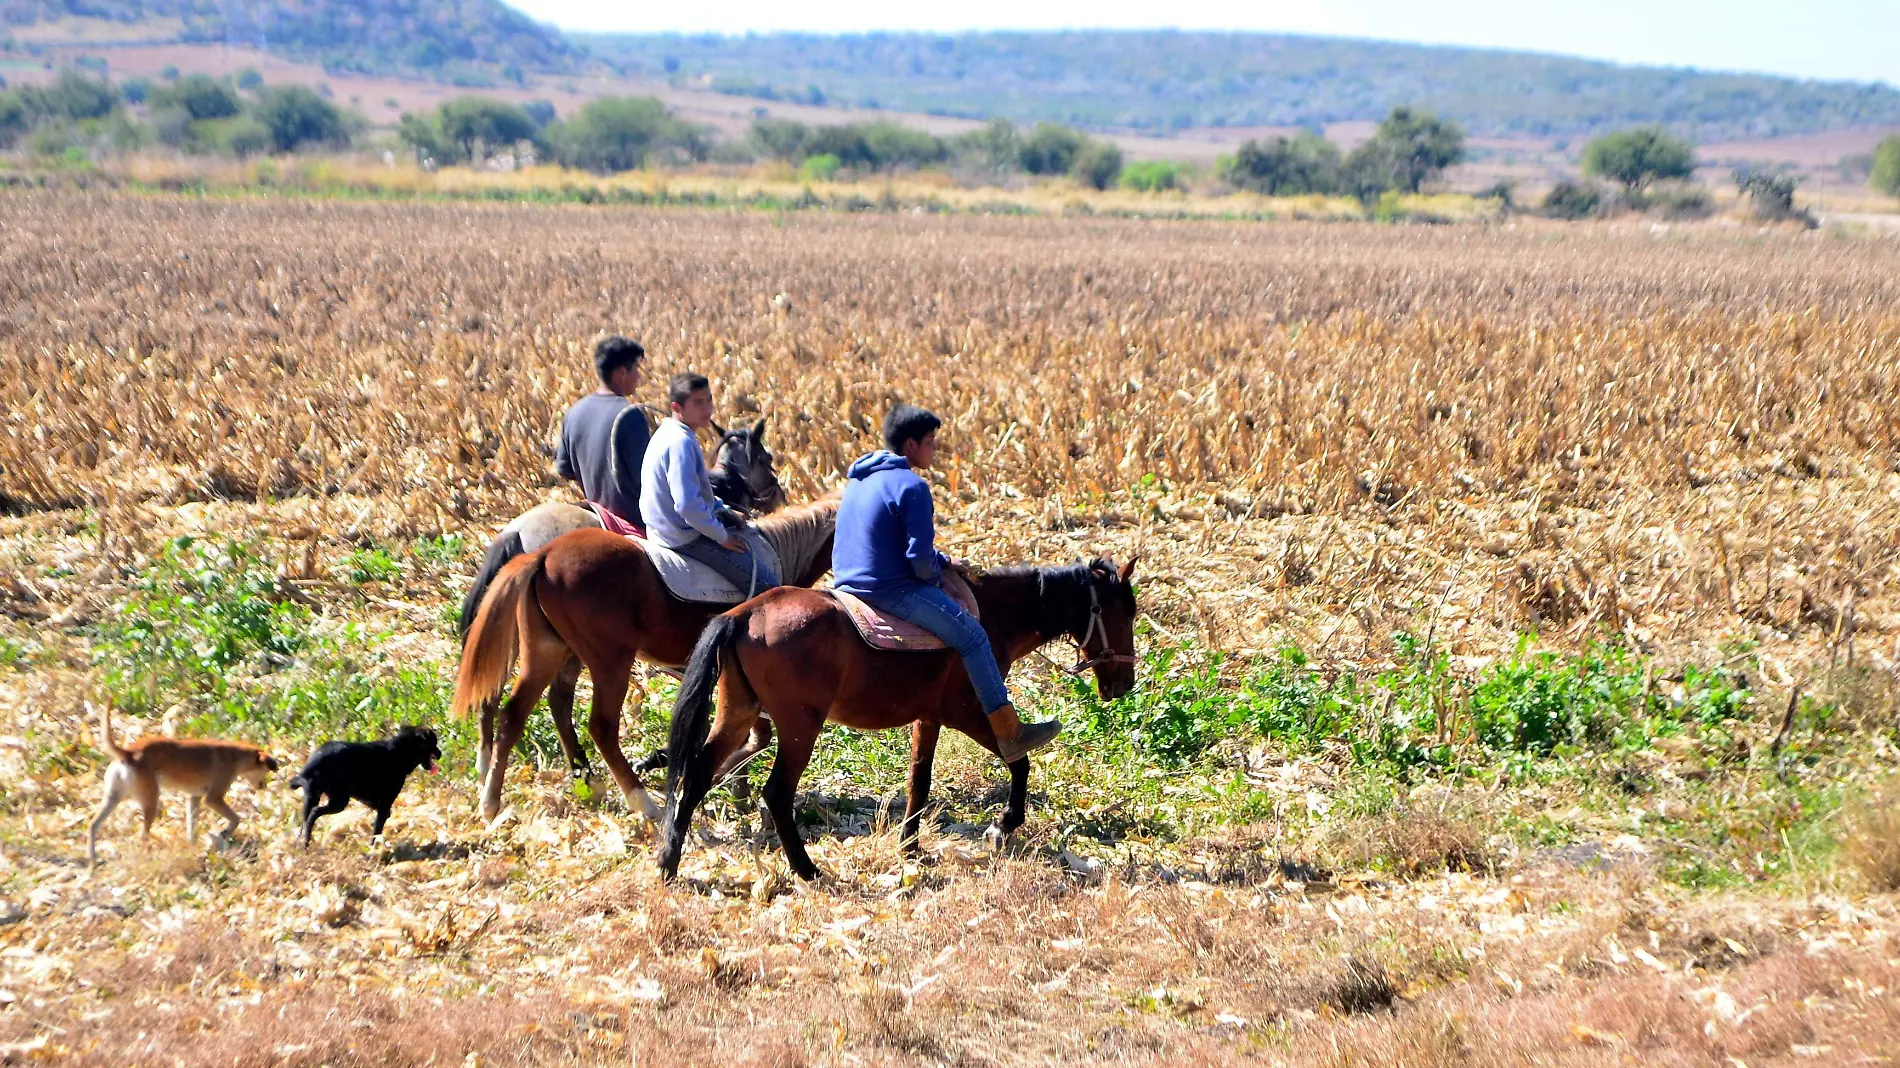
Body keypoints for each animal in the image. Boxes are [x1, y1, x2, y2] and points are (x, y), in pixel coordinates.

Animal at [89, 699, 277, 866]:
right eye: (267, 770)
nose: (264, 786)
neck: (235, 756)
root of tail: (129, 753)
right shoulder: (214, 798)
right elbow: (236, 818)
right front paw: (225, 831)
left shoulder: (193, 798)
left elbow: (191, 825)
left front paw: (193, 846)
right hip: (150, 799)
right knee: (143, 834)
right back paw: (149, 855)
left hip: (113, 796)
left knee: (93, 825)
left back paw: (93, 856)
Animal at [288, 718, 440, 843]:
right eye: (434, 743)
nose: (440, 753)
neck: (399, 752)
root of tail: (314, 762)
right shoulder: (385, 803)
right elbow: (377, 830)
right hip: (339, 801)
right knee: (314, 813)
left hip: (312, 797)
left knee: (306, 819)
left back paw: (303, 843)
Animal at [452, 494, 839, 817]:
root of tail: (543, 554)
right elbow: (753, 737)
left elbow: (751, 737)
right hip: (609, 661)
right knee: (599, 725)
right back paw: (641, 801)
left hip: (548, 650)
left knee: (517, 711)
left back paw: (496, 799)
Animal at [661, 562, 1132, 877]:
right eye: (1125, 611)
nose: (1124, 682)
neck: (994, 613)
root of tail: (745, 614)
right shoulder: (966, 711)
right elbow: (1018, 759)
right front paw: (1004, 824)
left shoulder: (929, 717)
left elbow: (918, 780)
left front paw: (910, 846)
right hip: (799, 726)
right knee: (776, 792)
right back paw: (806, 868)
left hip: (737, 713)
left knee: (698, 775)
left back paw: (668, 862)